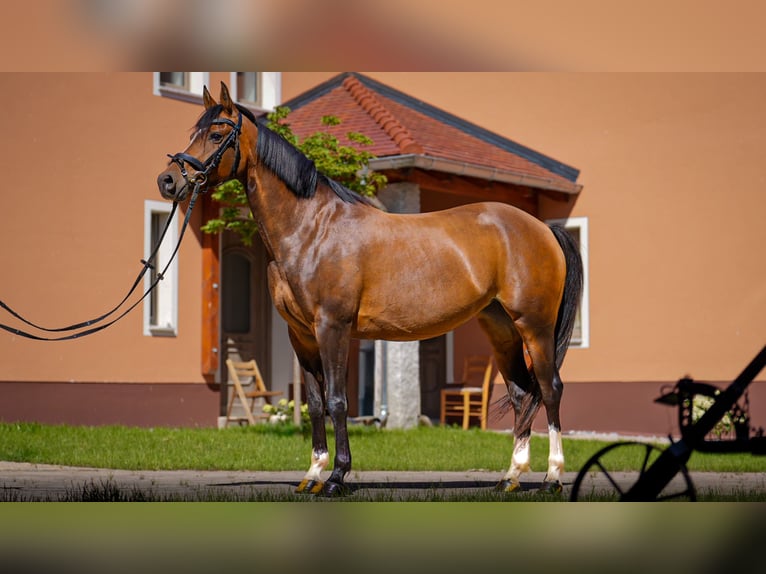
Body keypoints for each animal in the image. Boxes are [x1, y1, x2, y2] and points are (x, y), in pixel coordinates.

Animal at [157, 82, 583, 496]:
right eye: (193, 132)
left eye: (216, 135)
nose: (168, 181)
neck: (311, 228)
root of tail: (543, 228)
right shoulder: (301, 336)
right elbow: (315, 403)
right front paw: (312, 474)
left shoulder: (333, 328)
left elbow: (337, 400)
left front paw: (336, 477)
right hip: (501, 329)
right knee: (521, 394)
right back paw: (510, 477)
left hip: (535, 327)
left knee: (550, 389)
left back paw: (552, 478)